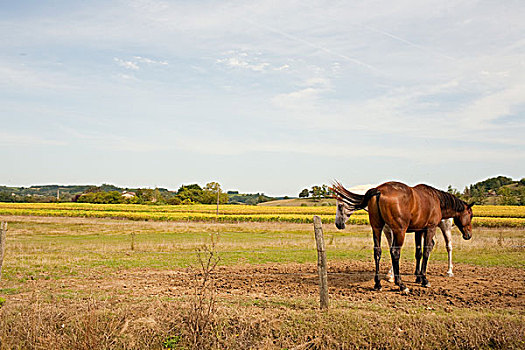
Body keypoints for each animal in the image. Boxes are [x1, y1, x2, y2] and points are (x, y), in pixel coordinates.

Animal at [332, 180, 474, 292]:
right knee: (396, 252)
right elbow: (424, 251)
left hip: (379, 228)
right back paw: (401, 284)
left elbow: (419, 252)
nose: (469, 235)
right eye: (471, 215)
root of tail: (379, 190)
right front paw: (423, 279)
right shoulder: (428, 229)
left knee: (378, 252)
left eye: (340, 206)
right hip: (400, 231)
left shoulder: (418, 230)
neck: (437, 201)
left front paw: (417, 276)